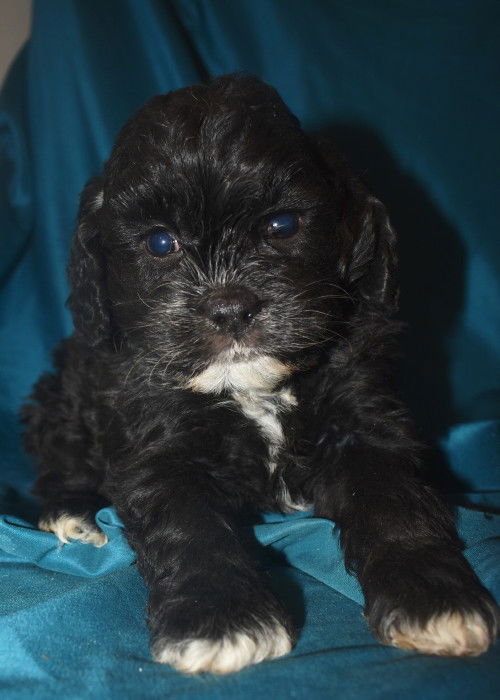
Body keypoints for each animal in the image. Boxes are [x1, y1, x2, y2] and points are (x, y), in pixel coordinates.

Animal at [22, 74, 498, 674]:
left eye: (282, 225)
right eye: (160, 242)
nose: (229, 308)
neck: (251, 387)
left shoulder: (363, 417)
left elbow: (393, 501)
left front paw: (433, 598)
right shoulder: (160, 441)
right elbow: (189, 522)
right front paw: (220, 618)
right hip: (61, 398)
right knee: (60, 459)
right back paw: (72, 516)